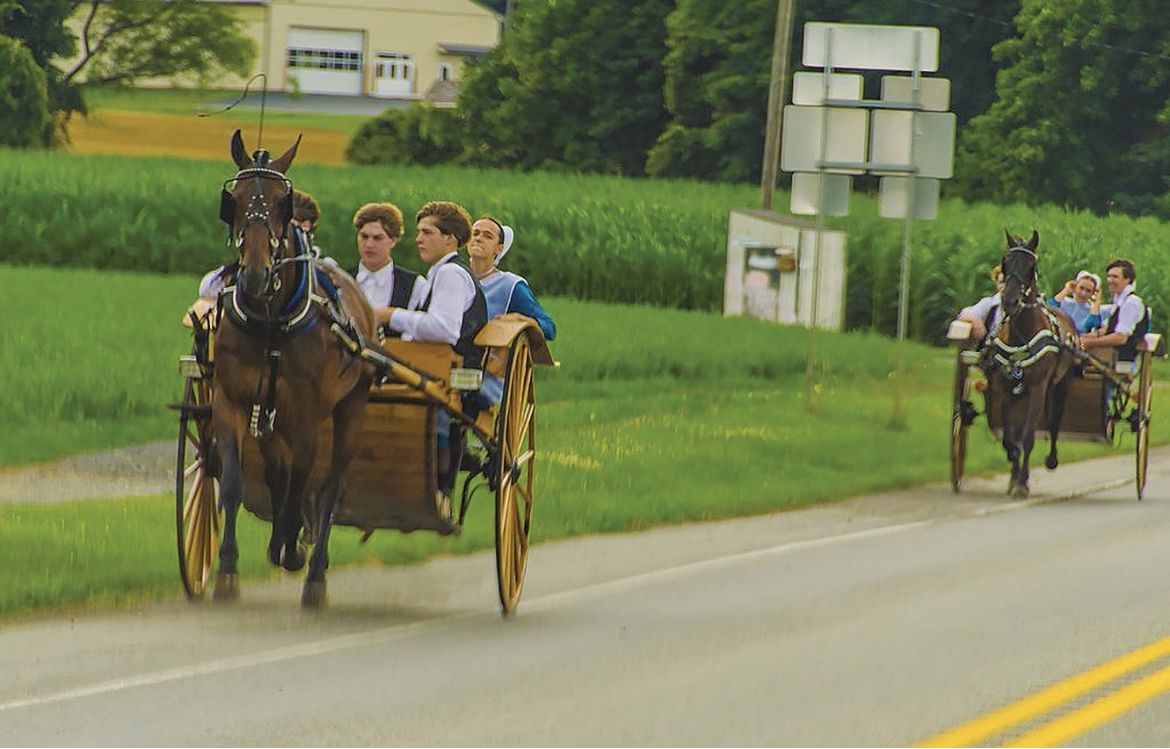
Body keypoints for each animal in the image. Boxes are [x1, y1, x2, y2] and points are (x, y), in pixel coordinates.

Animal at [210, 128, 374, 608]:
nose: (254, 275)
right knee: (278, 468)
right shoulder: (231, 400)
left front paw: (292, 544)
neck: (272, 320)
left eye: (282, 200)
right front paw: (227, 570)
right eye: (235, 199)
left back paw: (314, 571)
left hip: (350, 406)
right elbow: (234, 482)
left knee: (331, 484)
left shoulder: (306, 411)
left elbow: (303, 478)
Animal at [987, 229, 1076, 496]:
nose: (1010, 301)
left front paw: (1022, 482)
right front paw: (1014, 476)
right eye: (1005, 261)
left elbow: (1027, 436)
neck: (1021, 334)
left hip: (1060, 386)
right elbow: (1010, 437)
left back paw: (1051, 459)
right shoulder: (1004, 388)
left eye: (1031, 266)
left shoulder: (1038, 387)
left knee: (1054, 422)